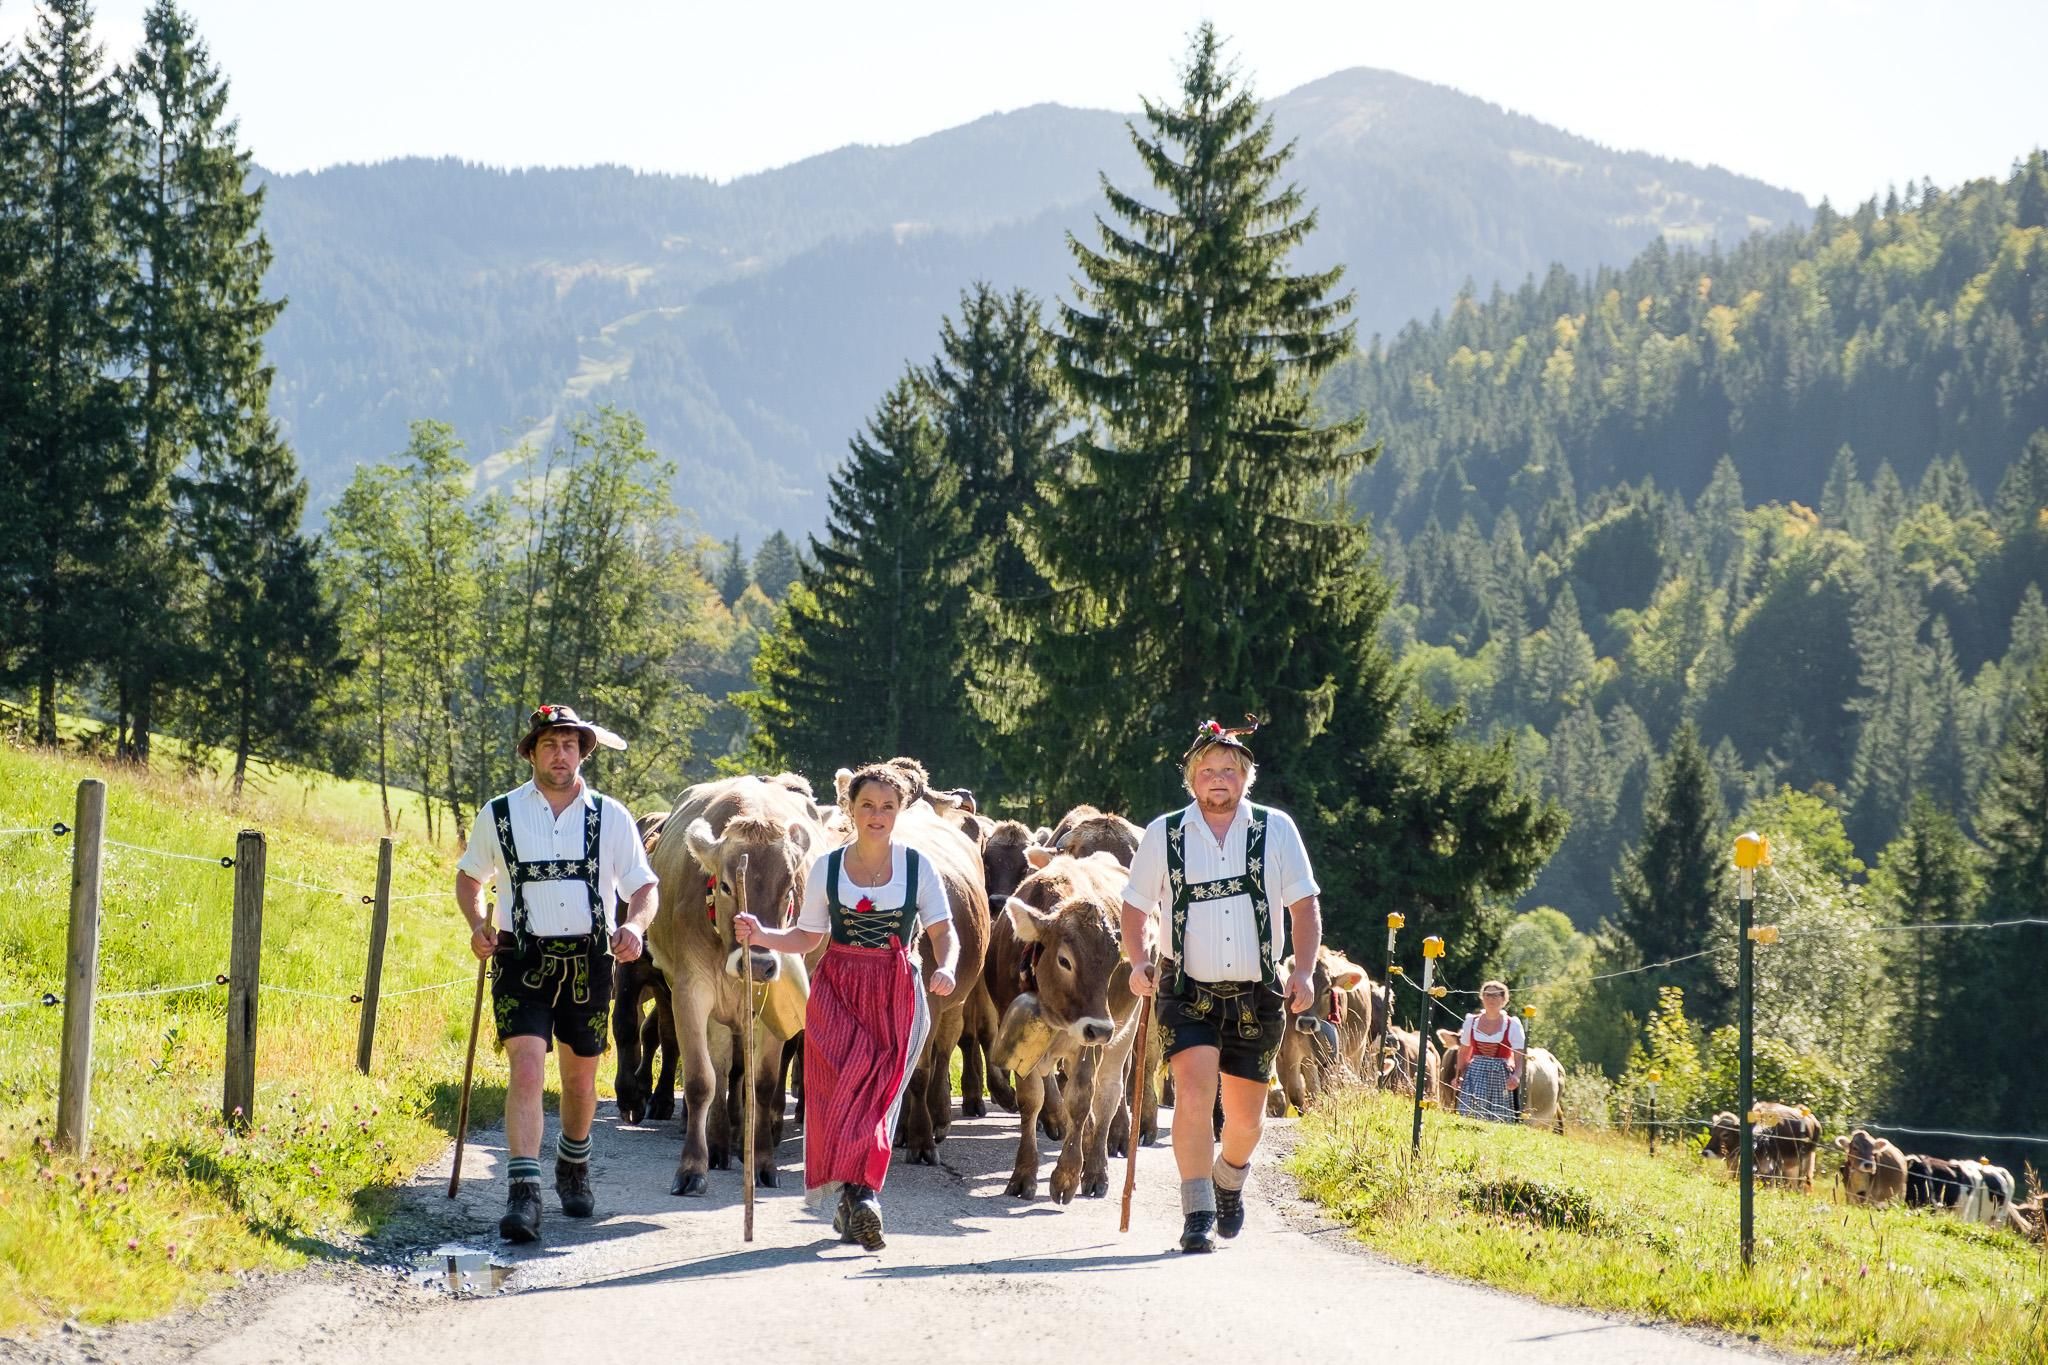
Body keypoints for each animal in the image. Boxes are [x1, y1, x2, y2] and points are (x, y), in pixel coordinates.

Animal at [978, 859, 1146, 1203]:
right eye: (1065, 960)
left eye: (1113, 965)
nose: (1100, 1028)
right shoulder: (1021, 1040)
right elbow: (1032, 1099)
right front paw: (1024, 1173)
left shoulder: (1090, 1042)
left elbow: (1081, 1098)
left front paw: (1067, 1175)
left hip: (1126, 1025)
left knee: (1108, 1093)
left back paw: (1095, 1168)